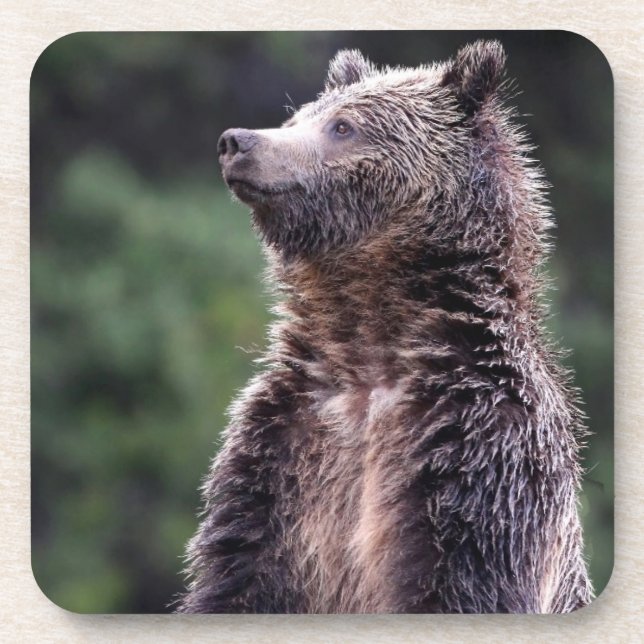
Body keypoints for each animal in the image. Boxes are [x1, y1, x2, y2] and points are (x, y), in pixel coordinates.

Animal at [177, 40, 593, 614]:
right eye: (297, 116)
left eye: (342, 126)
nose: (236, 141)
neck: (370, 345)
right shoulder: (279, 454)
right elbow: (236, 572)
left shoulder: (480, 452)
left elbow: (463, 581)